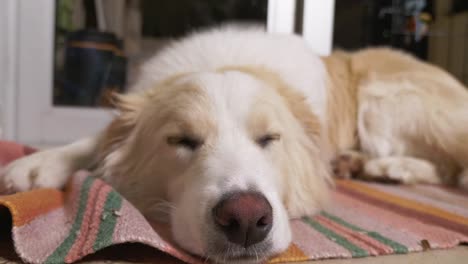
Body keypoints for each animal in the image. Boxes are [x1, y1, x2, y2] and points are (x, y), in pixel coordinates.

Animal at [2, 27, 468, 264]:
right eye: (182, 140)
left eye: (269, 139)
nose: (245, 219)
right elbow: (98, 138)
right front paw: (38, 165)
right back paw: (366, 165)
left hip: (381, 100)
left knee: (452, 166)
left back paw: (391, 167)